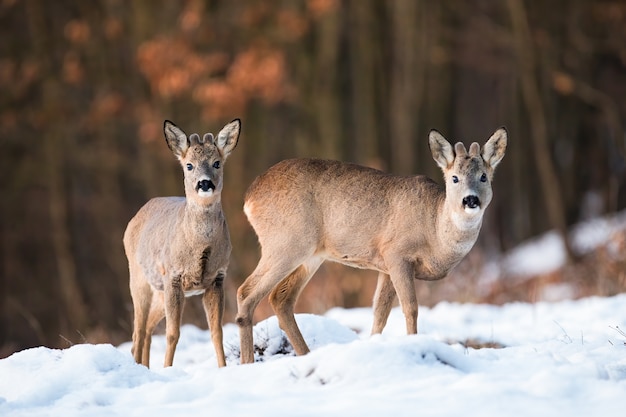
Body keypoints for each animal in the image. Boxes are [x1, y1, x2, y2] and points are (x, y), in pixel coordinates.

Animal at [123, 118, 240, 368]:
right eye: (189, 165)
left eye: (217, 163)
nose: (204, 183)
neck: (199, 246)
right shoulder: (174, 275)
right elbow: (172, 333)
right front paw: (168, 368)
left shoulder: (217, 277)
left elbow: (217, 332)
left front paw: (223, 368)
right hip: (138, 278)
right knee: (138, 330)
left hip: (159, 290)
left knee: (147, 329)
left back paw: (145, 367)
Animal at [236, 128, 504, 362]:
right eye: (454, 178)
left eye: (483, 176)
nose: (470, 200)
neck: (434, 230)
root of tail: (249, 198)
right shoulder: (397, 253)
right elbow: (411, 308)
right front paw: (414, 343)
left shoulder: (385, 267)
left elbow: (379, 314)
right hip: (286, 243)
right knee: (246, 292)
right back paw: (247, 362)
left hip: (310, 254)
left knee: (280, 298)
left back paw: (305, 355)